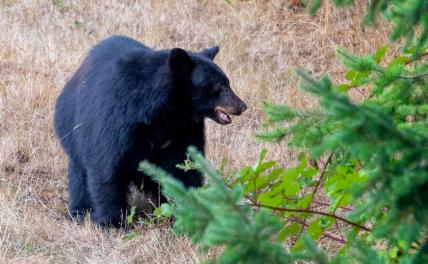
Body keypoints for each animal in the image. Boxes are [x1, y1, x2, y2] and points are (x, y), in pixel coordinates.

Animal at [54, 35, 247, 227]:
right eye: (219, 87)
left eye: (228, 82)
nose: (242, 106)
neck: (165, 112)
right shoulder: (116, 118)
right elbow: (107, 165)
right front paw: (113, 223)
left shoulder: (184, 129)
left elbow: (183, 167)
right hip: (72, 128)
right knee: (80, 177)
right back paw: (79, 212)